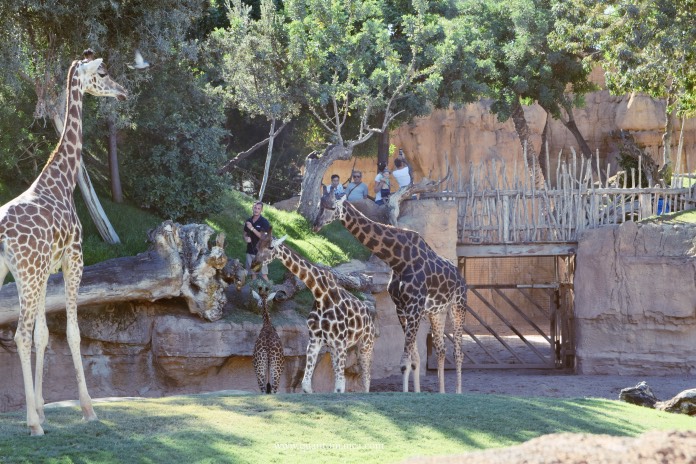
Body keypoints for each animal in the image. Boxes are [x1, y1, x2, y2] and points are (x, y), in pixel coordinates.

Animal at [0, 51, 128, 436]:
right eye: (103, 72)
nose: (123, 91)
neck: (62, 181)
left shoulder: (46, 271)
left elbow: (45, 335)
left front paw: (43, 409)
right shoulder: (74, 260)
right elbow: (72, 333)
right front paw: (87, 409)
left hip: (13, 274)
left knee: (26, 333)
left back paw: (35, 419)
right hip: (26, 275)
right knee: (19, 335)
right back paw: (31, 425)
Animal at [251, 230, 376, 394]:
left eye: (271, 247)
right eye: (257, 245)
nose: (254, 264)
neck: (320, 294)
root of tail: (370, 316)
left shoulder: (340, 341)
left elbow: (340, 387)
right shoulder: (315, 339)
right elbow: (306, 385)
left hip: (365, 344)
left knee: (366, 377)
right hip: (334, 347)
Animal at [312, 194, 464, 394]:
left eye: (331, 207)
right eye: (319, 205)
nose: (315, 224)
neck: (399, 260)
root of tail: (461, 275)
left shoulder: (414, 307)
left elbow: (405, 361)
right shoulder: (402, 308)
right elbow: (414, 358)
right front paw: (415, 392)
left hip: (458, 306)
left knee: (458, 351)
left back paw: (458, 392)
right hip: (437, 312)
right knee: (441, 348)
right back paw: (441, 393)